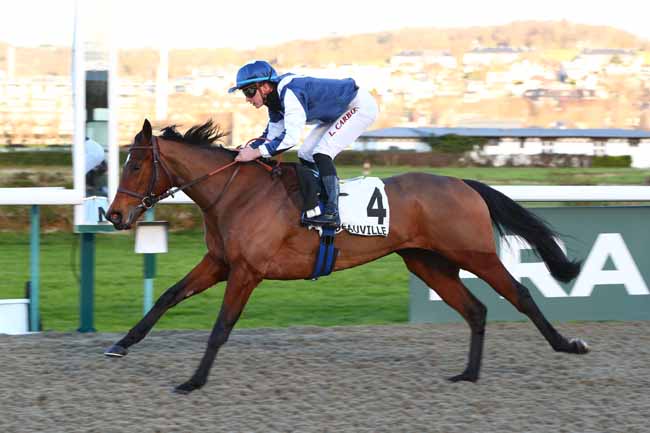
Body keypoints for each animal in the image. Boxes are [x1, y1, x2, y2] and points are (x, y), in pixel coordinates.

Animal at [105, 119, 588, 394]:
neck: (236, 192)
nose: (114, 215)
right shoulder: (220, 263)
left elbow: (221, 328)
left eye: (135, 165)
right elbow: (168, 296)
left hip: (475, 254)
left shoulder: (246, 271)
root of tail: (462, 183)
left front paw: (194, 380)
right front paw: (120, 344)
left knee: (520, 295)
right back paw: (468, 374)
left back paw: (567, 344)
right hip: (427, 262)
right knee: (476, 309)